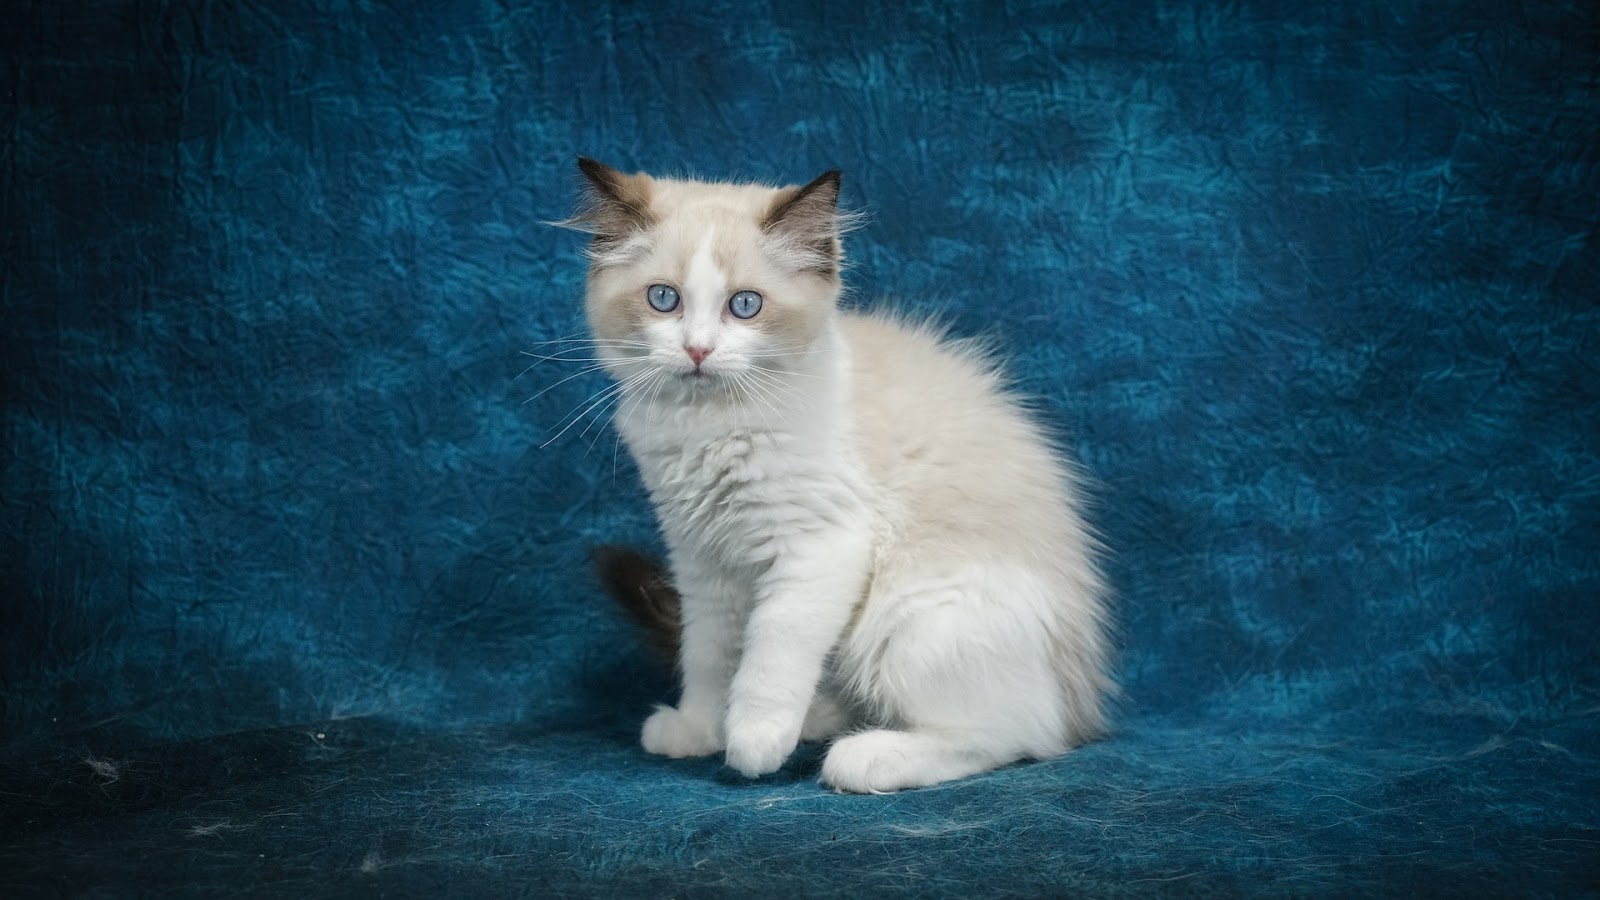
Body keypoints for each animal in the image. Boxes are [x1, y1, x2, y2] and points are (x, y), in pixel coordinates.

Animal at [566, 157, 1113, 787]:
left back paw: (866, 756)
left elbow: (773, 651)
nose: (698, 351)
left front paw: (752, 742)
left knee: (1013, 734)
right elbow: (707, 653)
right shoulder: (702, 559)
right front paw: (701, 727)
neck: (708, 425)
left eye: (744, 306)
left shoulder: (819, 543)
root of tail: (1082, 703)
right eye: (663, 299)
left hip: (915, 616)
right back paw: (821, 719)